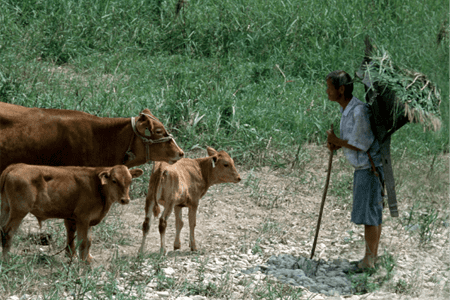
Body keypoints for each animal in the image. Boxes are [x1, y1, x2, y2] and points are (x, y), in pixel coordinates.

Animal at [0, 162, 143, 262]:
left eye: (130, 181)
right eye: (114, 181)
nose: (125, 199)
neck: (98, 187)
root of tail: (16, 166)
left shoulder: (86, 220)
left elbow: (88, 240)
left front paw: (87, 259)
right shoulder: (83, 218)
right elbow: (83, 242)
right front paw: (83, 262)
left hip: (5, 208)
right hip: (19, 210)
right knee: (8, 231)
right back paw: (7, 260)